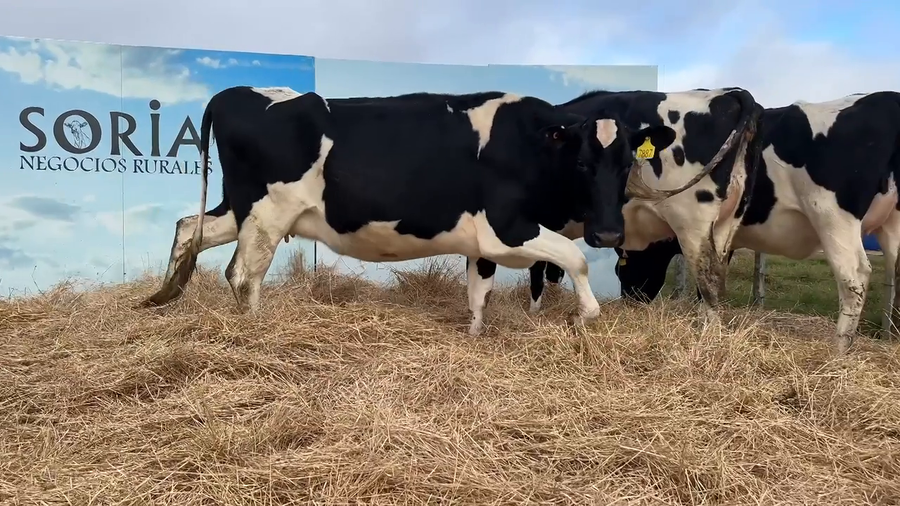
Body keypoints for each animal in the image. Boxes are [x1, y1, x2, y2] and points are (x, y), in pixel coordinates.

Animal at [137, 86, 682, 333]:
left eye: (627, 162)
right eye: (582, 163)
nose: (609, 234)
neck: (529, 143)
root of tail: (237, 93)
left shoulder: (481, 241)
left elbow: (479, 292)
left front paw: (474, 335)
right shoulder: (508, 227)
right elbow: (575, 260)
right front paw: (587, 313)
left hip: (242, 209)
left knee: (190, 227)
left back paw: (165, 294)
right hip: (267, 213)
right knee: (243, 274)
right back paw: (254, 330)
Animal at [472, 88, 764, 331]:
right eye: (580, 162)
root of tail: (727, 94)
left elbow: (539, 271)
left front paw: (535, 313)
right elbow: (553, 270)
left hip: (692, 223)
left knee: (708, 279)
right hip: (725, 225)